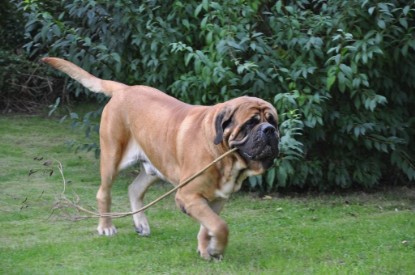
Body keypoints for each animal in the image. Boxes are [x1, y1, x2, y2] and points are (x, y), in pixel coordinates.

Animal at [42, 57, 282, 260]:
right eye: (250, 123)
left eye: (273, 121)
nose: (270, 131)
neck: (225, 156)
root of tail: (125, 88)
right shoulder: (188, 195)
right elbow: (220, 226)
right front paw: (215, 248)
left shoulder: (216, 199)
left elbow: (209, 227)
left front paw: (208, 249)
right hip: (112, 156)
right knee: (104, 192)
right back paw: (106, 226)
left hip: (155, 165)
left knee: (134, 189)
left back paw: (141, 224)